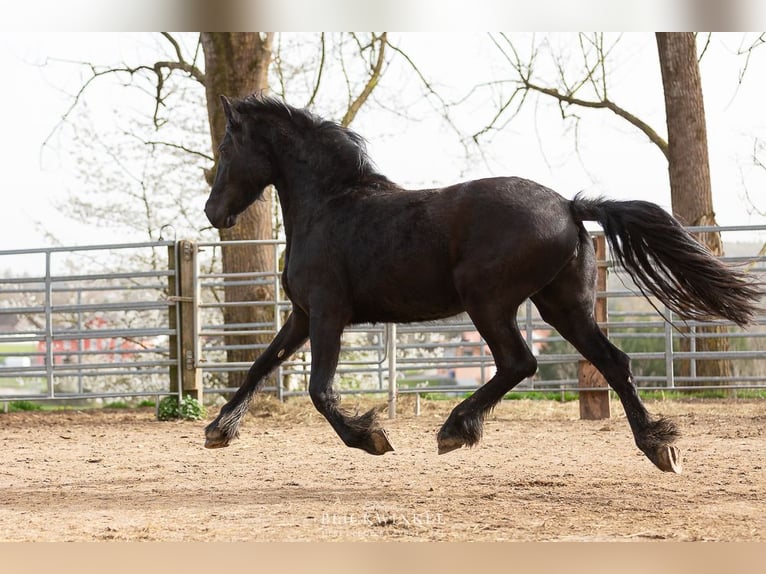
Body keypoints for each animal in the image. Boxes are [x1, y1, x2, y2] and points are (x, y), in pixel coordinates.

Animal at [202, 93, 762, 473]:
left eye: (227, 145)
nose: (212, 212)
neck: (329, 206)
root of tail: (569, 205)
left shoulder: (327, 314)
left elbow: (319, 390)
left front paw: (372, 437)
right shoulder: (301, 315)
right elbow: (258, 366)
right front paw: (217, 430)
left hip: (487, 301)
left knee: (520, 362)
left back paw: (454, 429)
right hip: (562, 306)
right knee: (613, 362)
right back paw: (659, 445)